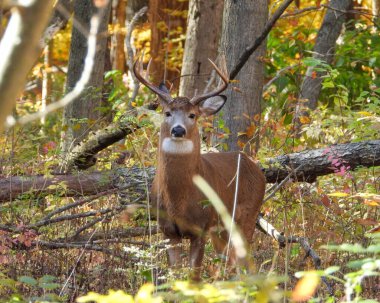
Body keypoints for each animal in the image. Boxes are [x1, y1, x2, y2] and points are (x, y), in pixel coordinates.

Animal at [135, 57, 266, 280]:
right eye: (167, 113)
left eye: (193, 115)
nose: (178, 130)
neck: (179, 201)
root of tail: (255, 167)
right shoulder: (168, 231)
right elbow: (174, 276)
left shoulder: (201, 228)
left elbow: (193, 277)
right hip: (221, 230)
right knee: (231, 262)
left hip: (247, 215)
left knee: (246, 263)